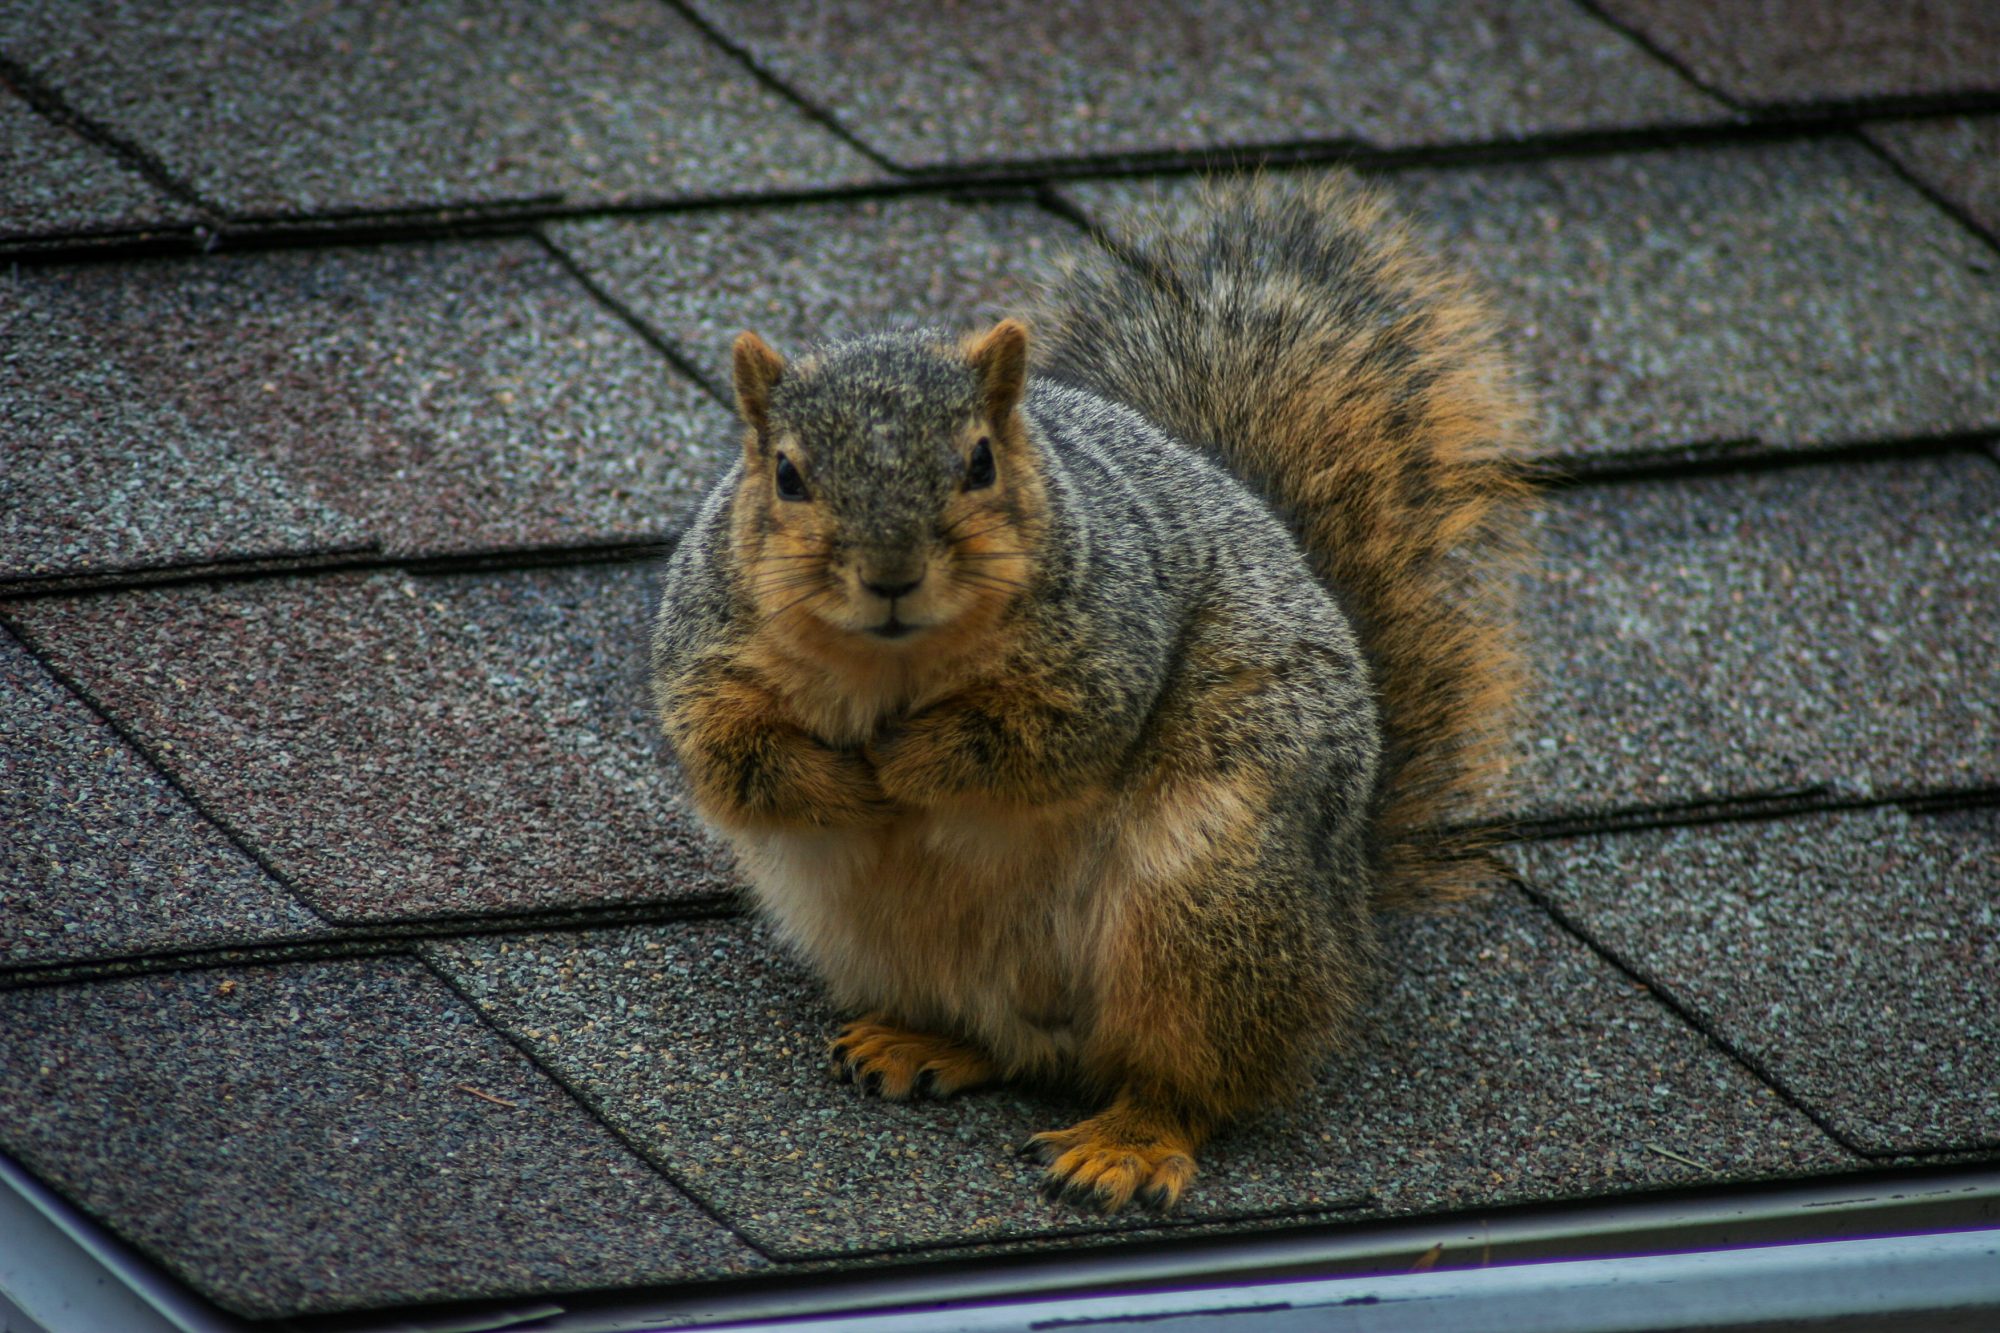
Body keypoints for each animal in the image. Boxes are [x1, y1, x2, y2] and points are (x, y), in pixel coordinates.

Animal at [649, 174, 1534, 1214]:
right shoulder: (708, 654)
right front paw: (847, 783)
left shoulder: (1106, 650)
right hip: (886, 937)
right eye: (786, 474)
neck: (893, 666)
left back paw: (1129, 1141)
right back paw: (921, 1041)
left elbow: (1036, 740)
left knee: (1195, 1079)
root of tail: (1345, 909)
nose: (892, 574)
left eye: (980, 462)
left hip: (1212, 905)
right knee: (1013, 1044)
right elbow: (735, 757)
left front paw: (902, 764)